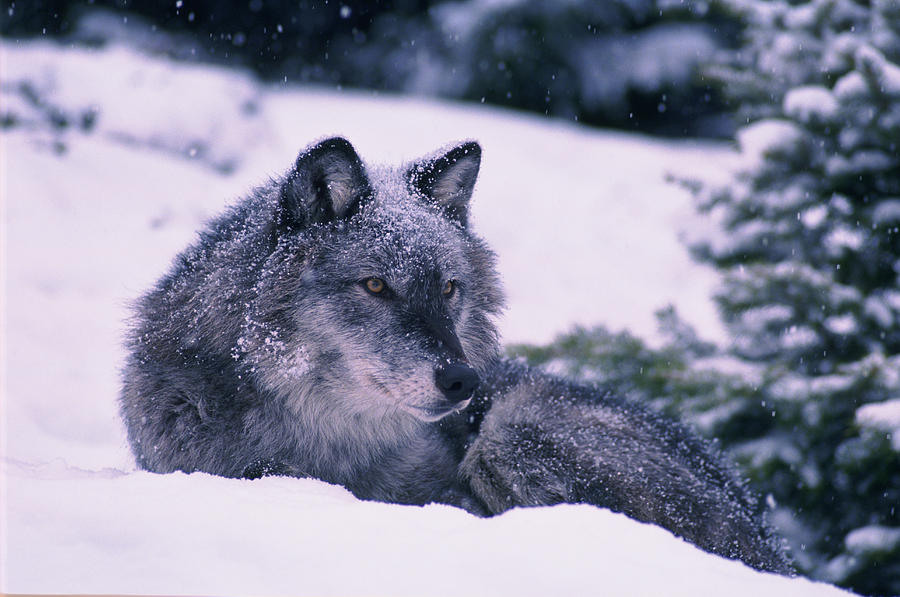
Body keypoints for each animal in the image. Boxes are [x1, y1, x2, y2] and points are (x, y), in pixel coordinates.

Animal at [118, 135, 788, 572]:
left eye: (448, 288)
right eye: (376, 286)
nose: (464, 380)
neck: (323, 443)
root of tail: (765, 537)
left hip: (514, 430)